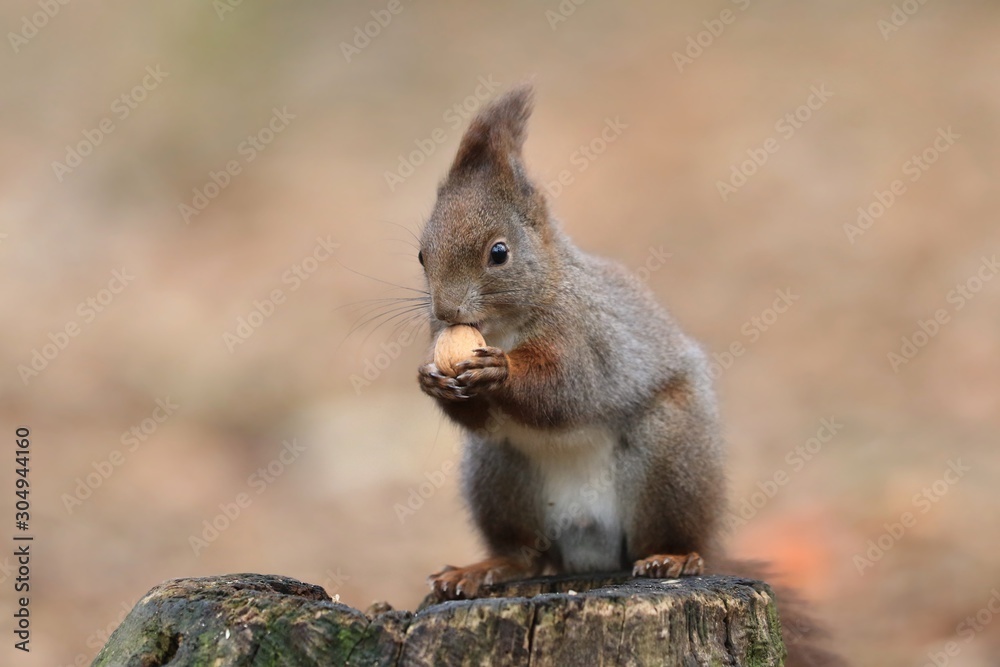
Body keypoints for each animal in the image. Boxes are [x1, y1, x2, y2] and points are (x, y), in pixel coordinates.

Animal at [415, 84, 842, 666]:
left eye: (498, 253)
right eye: (420, 255)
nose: (446, 311)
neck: (510, 324)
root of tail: (589, 548)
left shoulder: (589, 338)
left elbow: (567, 390)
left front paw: (499, 371)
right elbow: (481, 418)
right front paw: (433, 381)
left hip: (668, 456)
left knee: (670, 535)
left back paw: (673, 558)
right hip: (497, 475)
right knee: (526, 554)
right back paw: (485, 568)